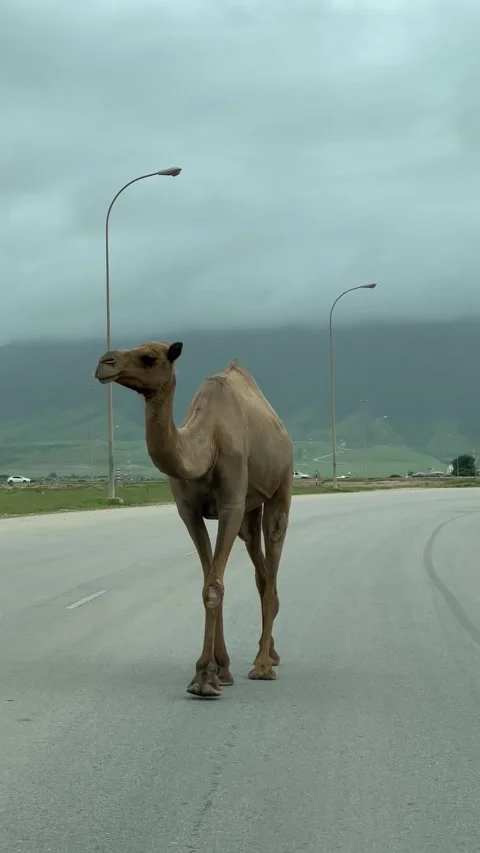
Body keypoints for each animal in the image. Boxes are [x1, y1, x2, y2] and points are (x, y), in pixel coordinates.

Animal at [94, 340, 293, 698]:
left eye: (149, 357)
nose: (105, 362)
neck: (206, 445)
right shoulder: (188, 511)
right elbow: (208, 581)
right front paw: (217, 671)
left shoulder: (231, 504)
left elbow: (214, 585)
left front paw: (204, 679)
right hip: (250, 511)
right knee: (260, 569)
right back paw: (270, 652)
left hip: (280, 487)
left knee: (273, 550)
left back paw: (263, 665)